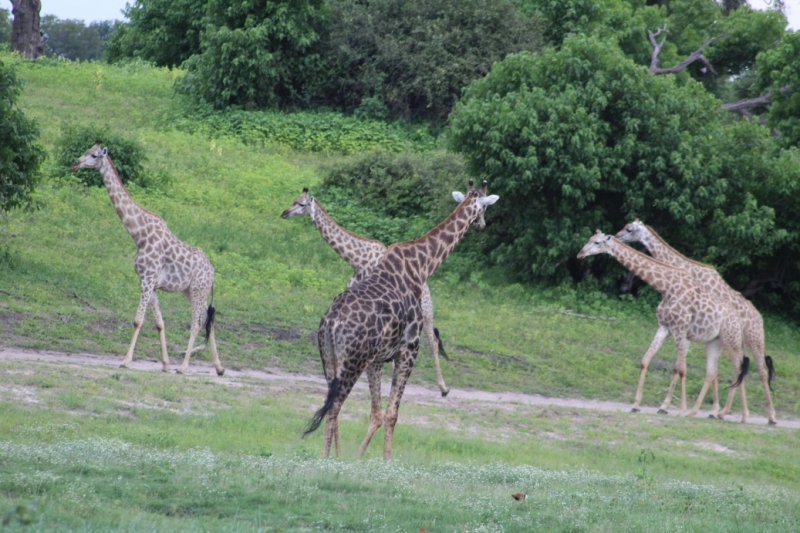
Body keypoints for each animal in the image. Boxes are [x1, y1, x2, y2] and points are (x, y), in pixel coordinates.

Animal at [71, 141, 223, 374]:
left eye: (94, 155)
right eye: (86, 151)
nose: (75, 163)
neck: (139, 234)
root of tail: (213, 272)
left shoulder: (148, 279)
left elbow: (138, 321)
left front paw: (125, 361)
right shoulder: (148, 281)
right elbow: (160, 323)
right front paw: (166, 365)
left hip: (198, 290)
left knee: (197, 322)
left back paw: (184, 367)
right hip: (192, 291)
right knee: (209, 319)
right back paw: (219, 368)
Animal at [278, 183, 490, 394]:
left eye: (301, 203)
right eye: (294, 200)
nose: (284, 213)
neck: (357, 259)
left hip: (426, 312)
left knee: (433, 340)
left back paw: (443, 388)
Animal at [304, 182, 496, 458]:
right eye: (484, 207)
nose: (482, 225)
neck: (422, 266)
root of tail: (331, 322)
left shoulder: (378, 359)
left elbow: (376, 412)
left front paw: (359, 459)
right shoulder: (408, 350)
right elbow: (392, 414)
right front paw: (386, 462)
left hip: (329, 357)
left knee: (330, 404)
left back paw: (330, 458)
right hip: (354, 361)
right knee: (335, 406)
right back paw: (327, 461)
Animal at [576, 232, 752, 420]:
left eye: (597, 242)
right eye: (589, 239)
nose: (580, 254)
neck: (666, 287)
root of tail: (740, 321)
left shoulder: (680, 330)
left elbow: (680, 368)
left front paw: (679, 409)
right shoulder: (664, 328)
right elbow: (645, 360)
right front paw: (636, 405)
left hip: (731, 340)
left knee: (738, 369)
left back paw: (736, 414)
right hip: (715, 342)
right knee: (713, 372)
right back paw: (701, 411)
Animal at [616, 218, 780, 422]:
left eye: (629, 229)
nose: (617, 235)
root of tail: (759, 317)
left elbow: (684, 367)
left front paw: (670, 406)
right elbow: (703, 370)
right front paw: (709, 410)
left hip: (753, 337)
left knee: (762, 370)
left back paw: (770, 417)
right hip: (736, 340)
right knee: (739, 368)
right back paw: (727, 412)